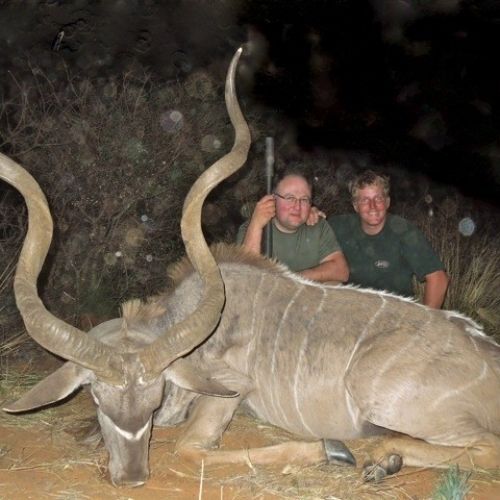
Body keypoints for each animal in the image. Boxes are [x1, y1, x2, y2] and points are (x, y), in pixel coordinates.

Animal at [2, 46, 500, 488]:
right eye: (97, 398)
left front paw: (330, 450)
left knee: (485, 447)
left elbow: (189, 450)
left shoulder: (230, 389)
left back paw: (379, 457)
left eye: (155, 395)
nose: (131, 477)